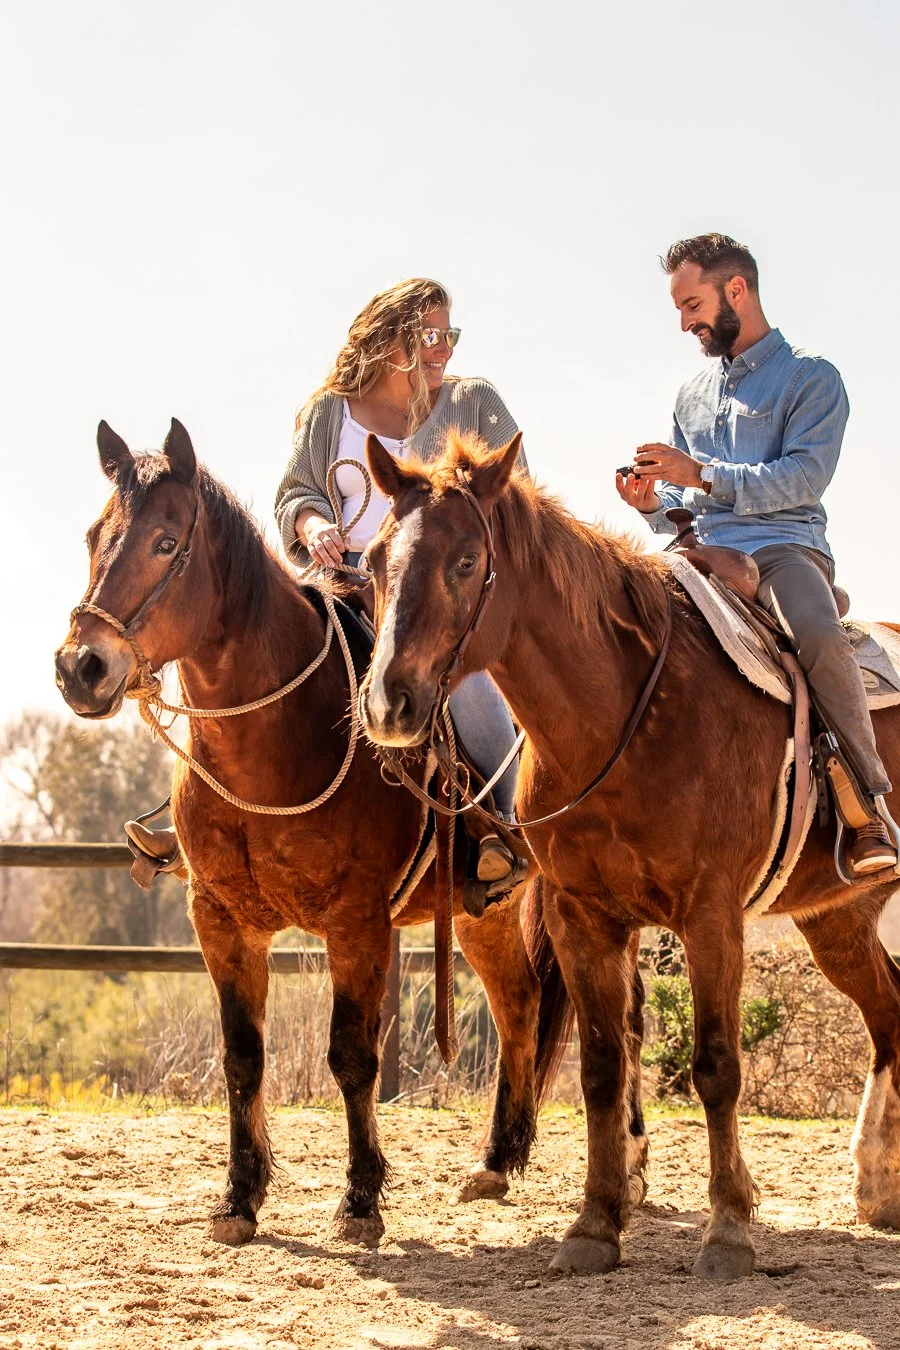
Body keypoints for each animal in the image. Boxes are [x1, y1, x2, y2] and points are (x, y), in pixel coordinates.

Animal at [54, 418, 574, 1247]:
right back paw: (497, 1160)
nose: (81, 667)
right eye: (94, 536)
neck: (271, 748)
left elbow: (353, 1058)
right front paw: (239, 1196)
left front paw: (360, 1200)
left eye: (166, 543)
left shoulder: (357, 924)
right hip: (477, 911)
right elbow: (242, 1057)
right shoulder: (221, 921)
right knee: (519, 1003)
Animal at [358, 428, 900, 1281]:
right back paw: (880, 1186)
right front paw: (595, 1225)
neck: (625, 714)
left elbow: (716, 1067)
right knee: (891, 1018)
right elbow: (602, 1067)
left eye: (467, 561)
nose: (388, 703)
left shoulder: (711, 918)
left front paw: (729, 1230)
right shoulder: (585, 917)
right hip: (838, 920)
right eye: (376, 559)